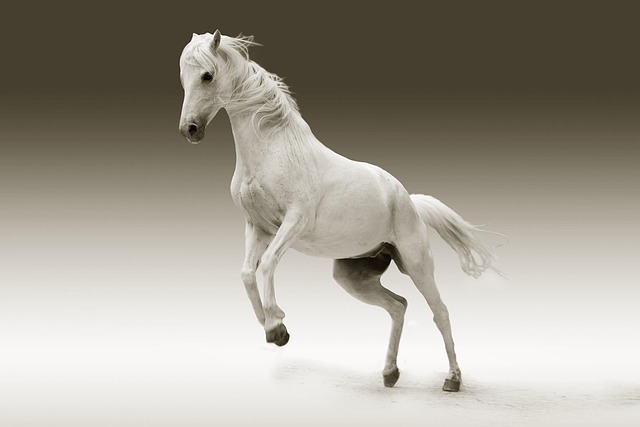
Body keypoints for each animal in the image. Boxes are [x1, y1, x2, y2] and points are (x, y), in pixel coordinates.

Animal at [178, 30, 501, 392]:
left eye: (207, 75)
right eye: (183, 78)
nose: (189, 129)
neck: (273, 151)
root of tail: (408, 200)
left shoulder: (293, 222)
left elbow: (268, 265)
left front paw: (276, 327)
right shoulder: (257, 226)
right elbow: (247, 273)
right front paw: (273, 326)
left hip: (417, 264)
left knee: (440, 312)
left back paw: (452, 379)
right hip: (353, 276)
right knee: (398, 306)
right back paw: (390, 373)